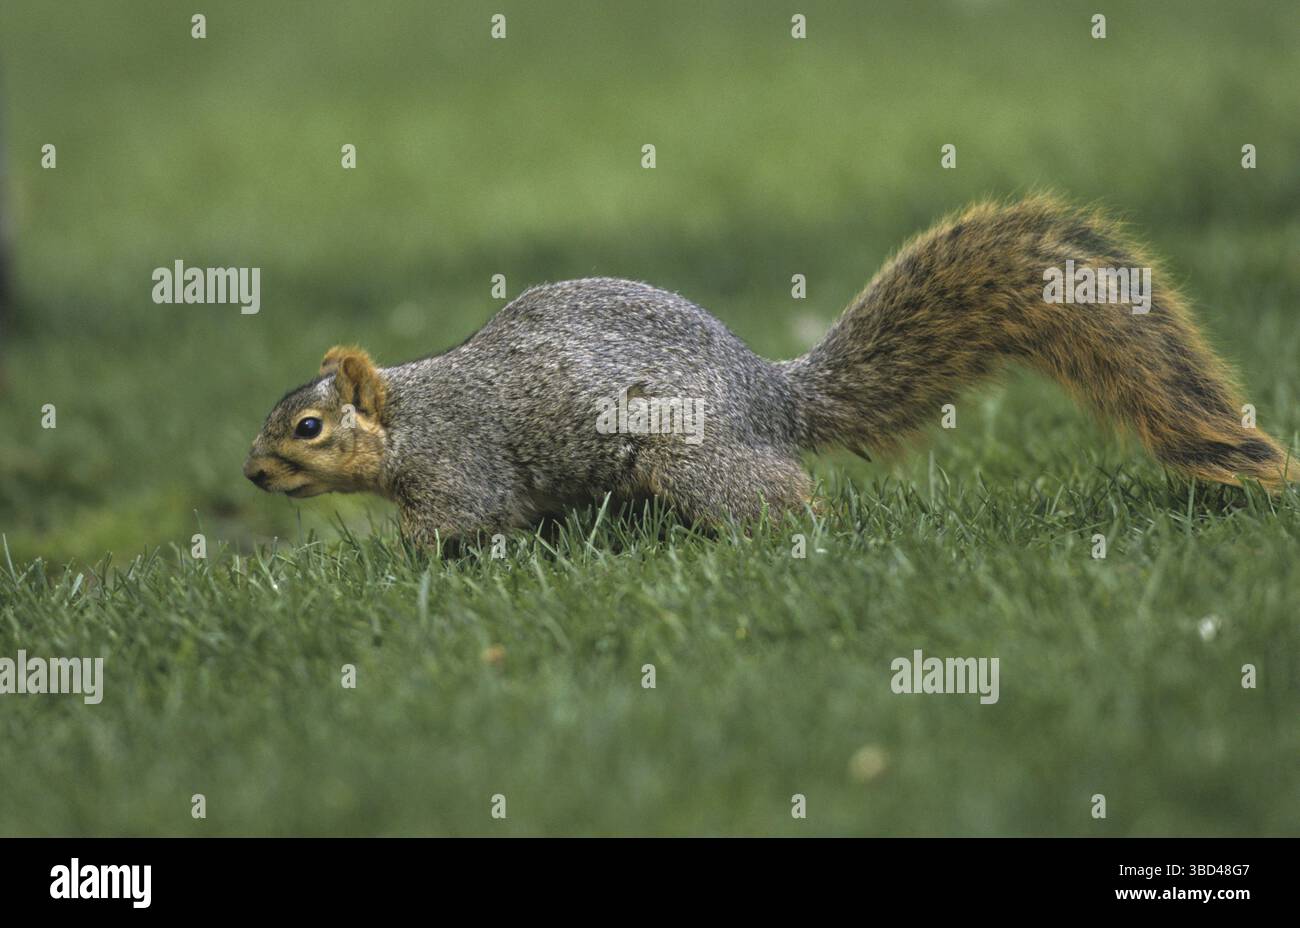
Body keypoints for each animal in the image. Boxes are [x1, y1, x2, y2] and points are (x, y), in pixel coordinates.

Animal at [244, 195, 1292, 546]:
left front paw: (396, 569)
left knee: (782, 497)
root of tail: (774, 398)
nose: (252, 473)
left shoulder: (461, 469)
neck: (411, 414)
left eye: (308, 428)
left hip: (688, 453)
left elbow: (454, 528)